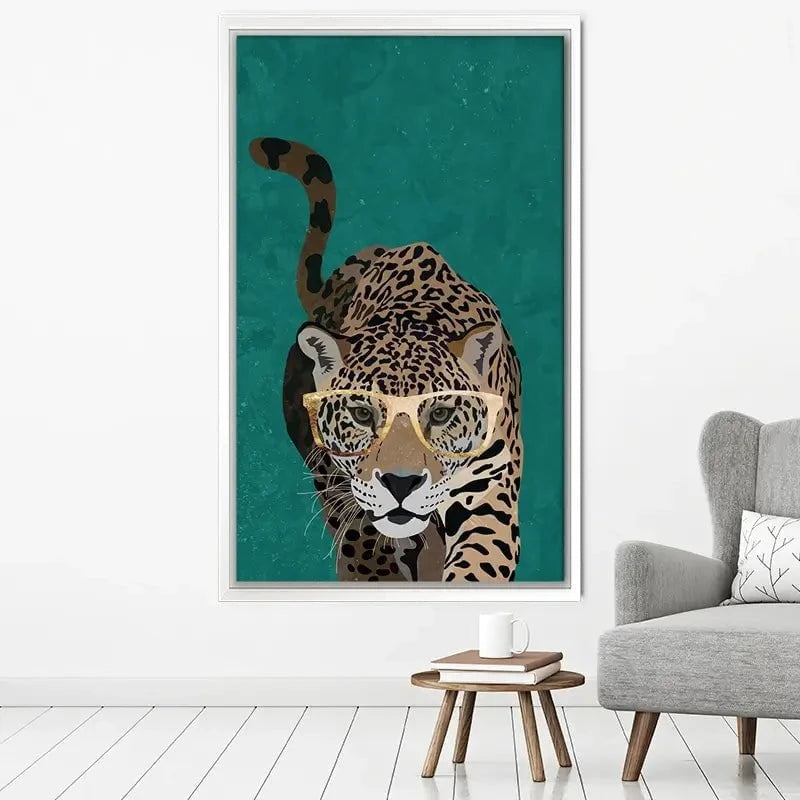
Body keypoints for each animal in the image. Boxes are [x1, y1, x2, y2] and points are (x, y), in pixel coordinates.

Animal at [249, 137, 523, 582]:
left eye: (441, 414)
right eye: (362, 414)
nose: (400, 483)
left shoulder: (488, 489)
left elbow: (479, 564)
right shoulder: (348, 494)